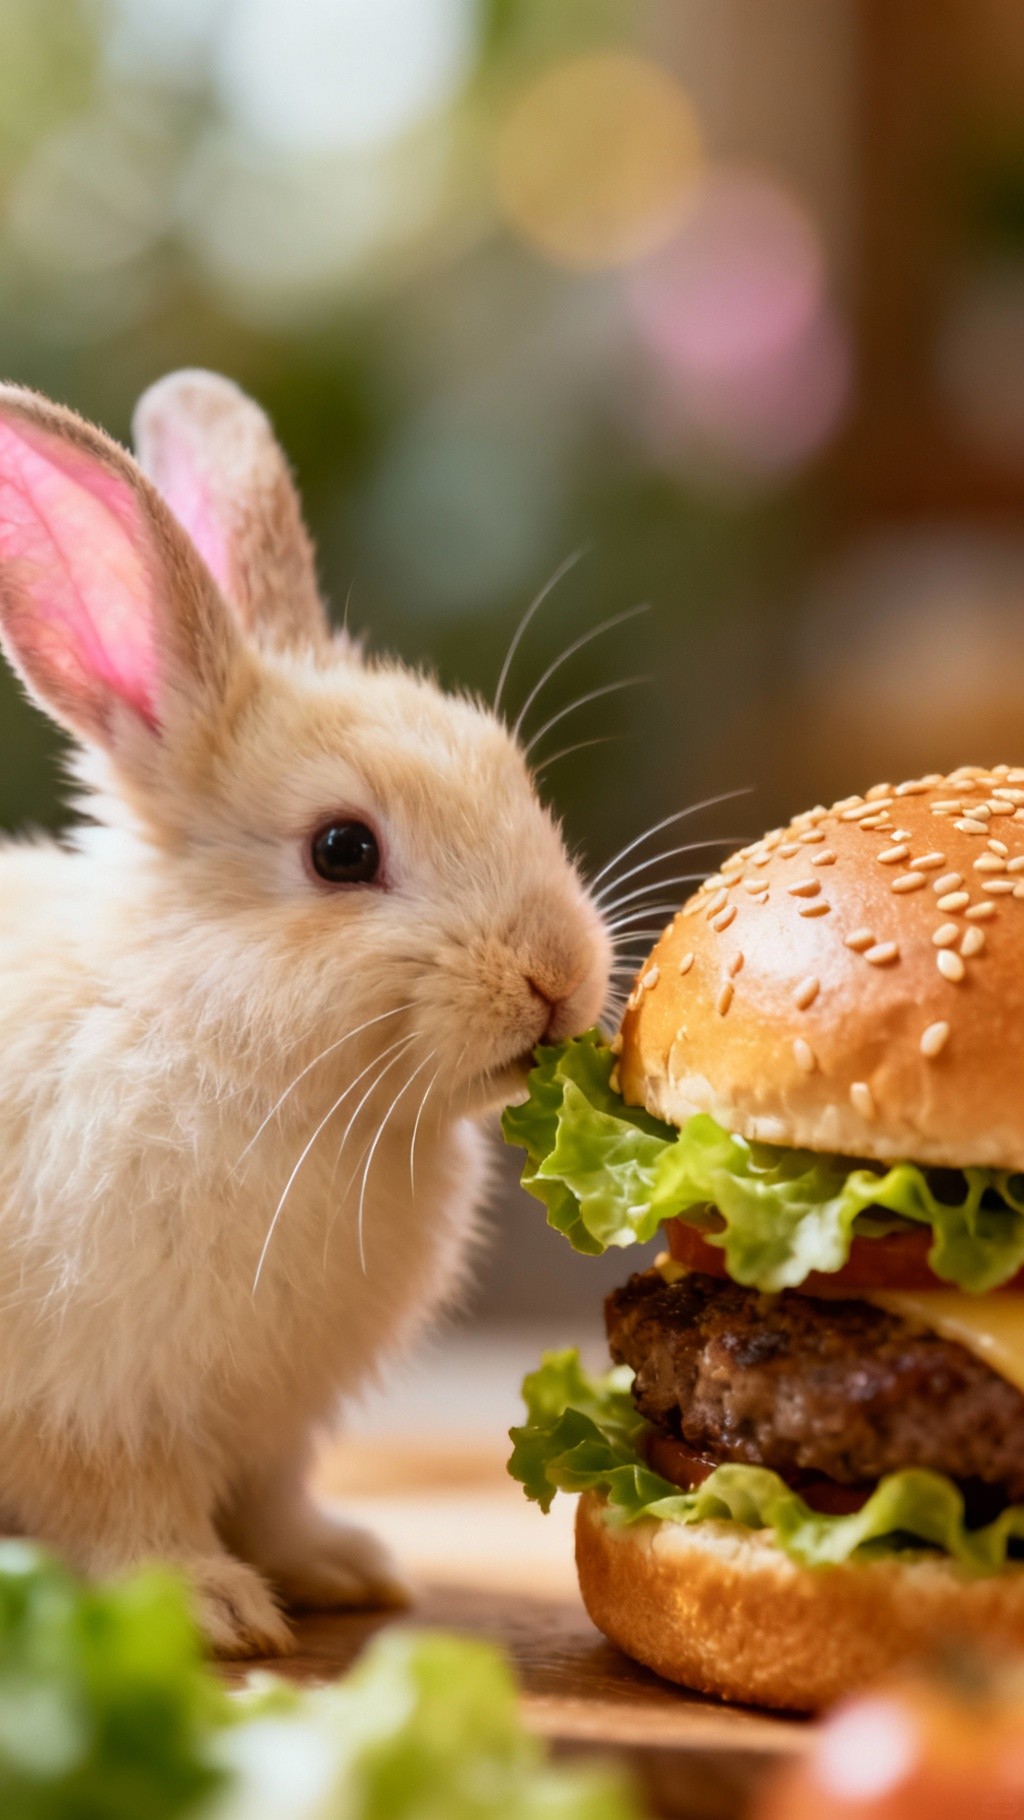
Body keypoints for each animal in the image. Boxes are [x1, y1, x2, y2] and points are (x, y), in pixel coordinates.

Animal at [0, 370, 611, 1655]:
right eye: (342, 849)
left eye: (508, 769)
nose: (558, 977)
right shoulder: (91, 1409)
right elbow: (125, 1513)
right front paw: (216, 1608)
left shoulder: (277, 1425)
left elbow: (276, 1497)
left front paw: (343, 1568)